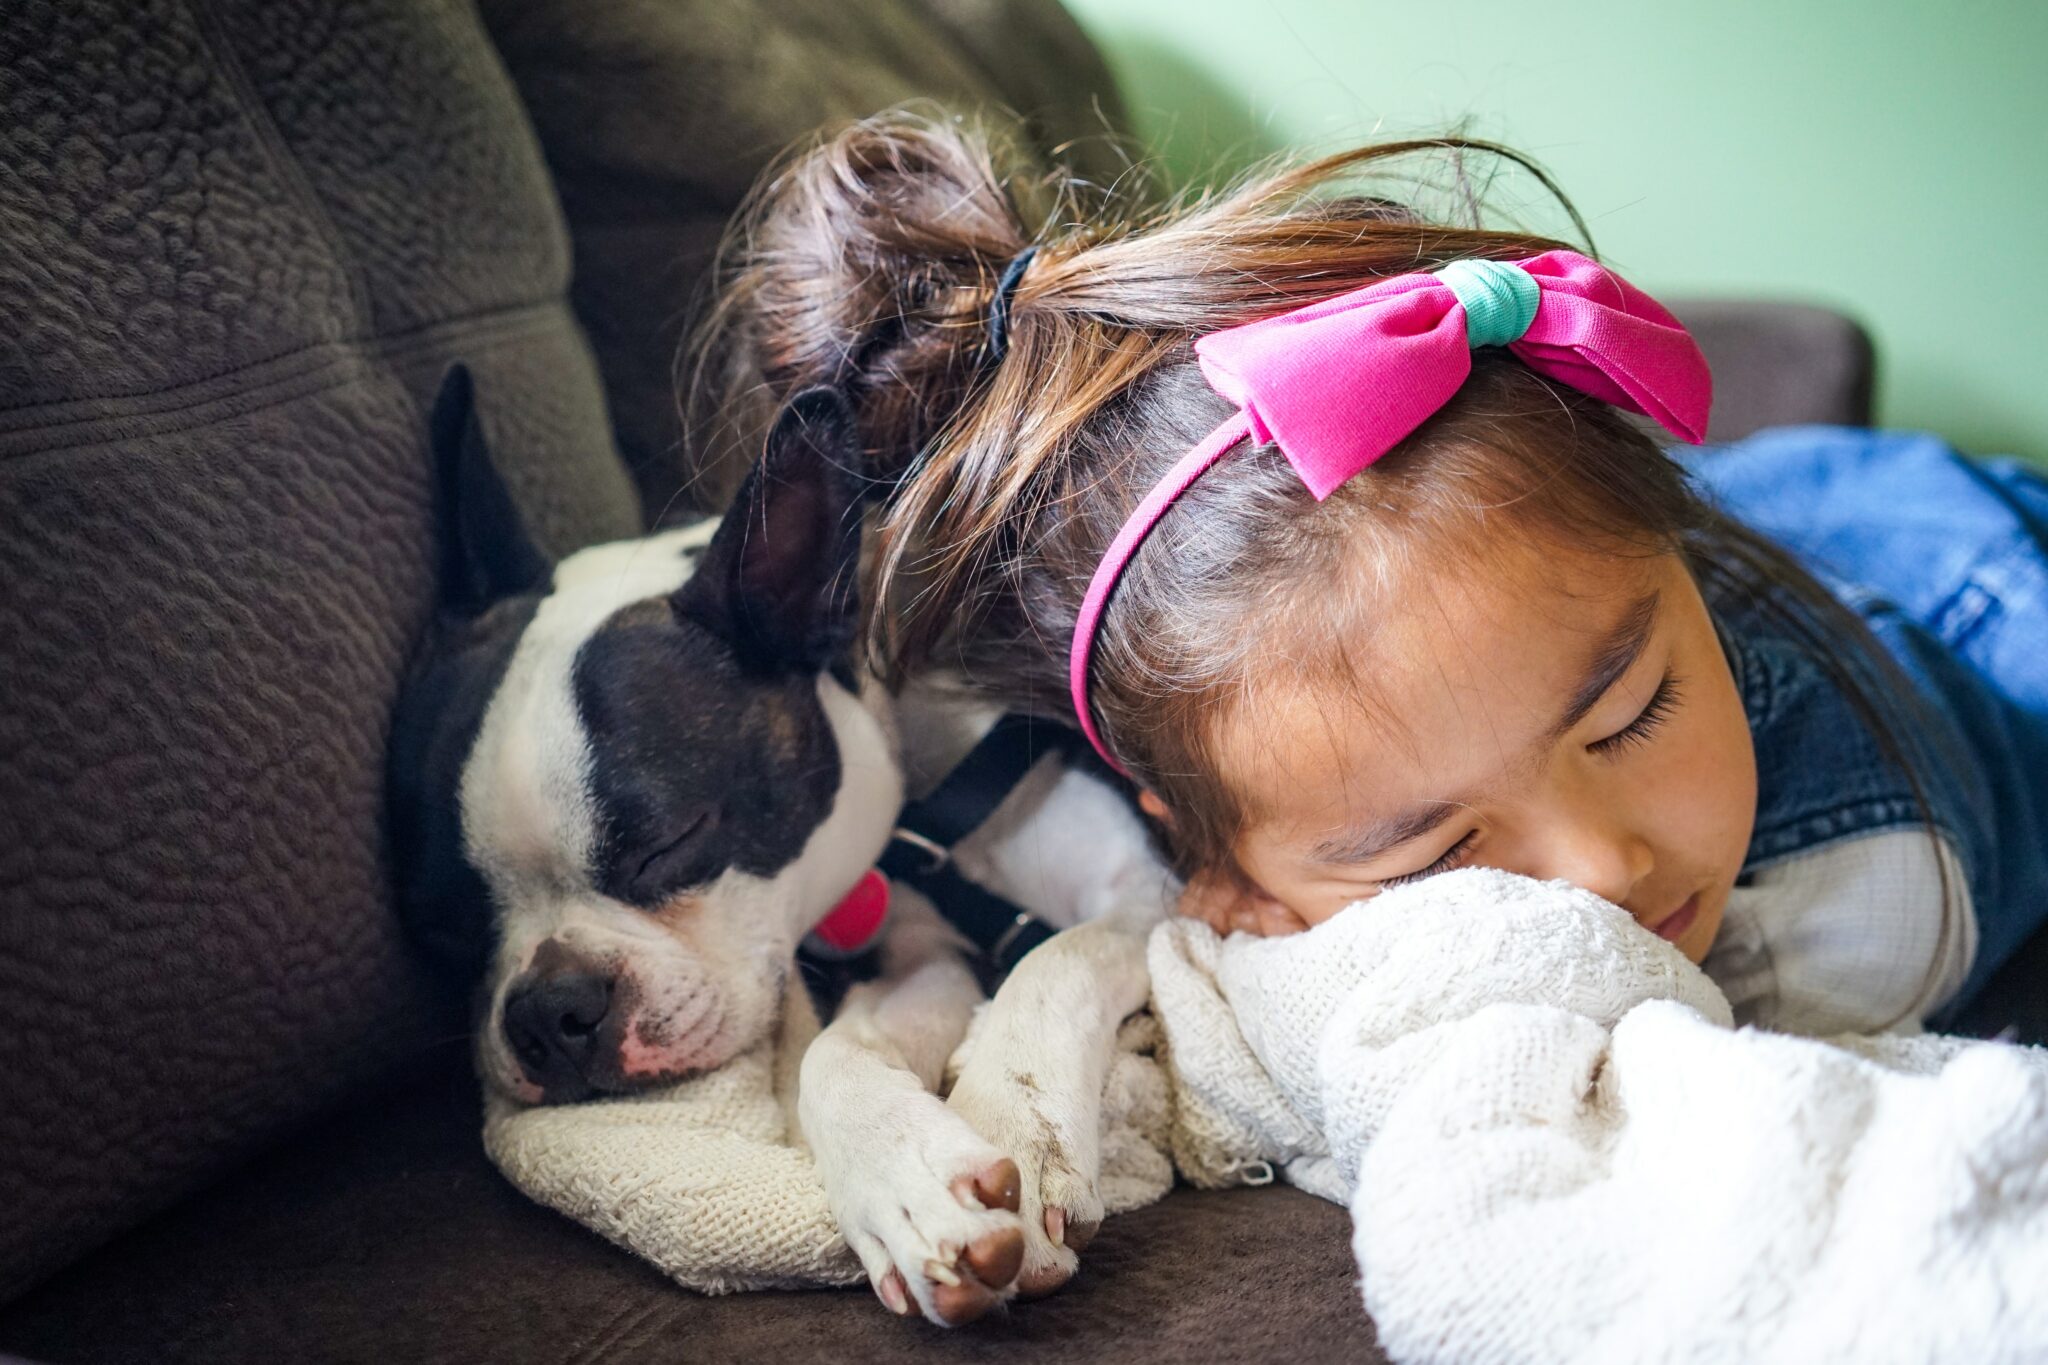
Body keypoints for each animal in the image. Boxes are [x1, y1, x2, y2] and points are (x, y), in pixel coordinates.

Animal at [391, 370, 1179, 1326]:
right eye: (442, 926)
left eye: (668, 843)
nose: (548, 1009)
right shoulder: (918, 948)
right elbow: (833, 1051)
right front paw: (906, 1184)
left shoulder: (1148, 885)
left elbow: (1058, 959)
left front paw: (1014, 1122)